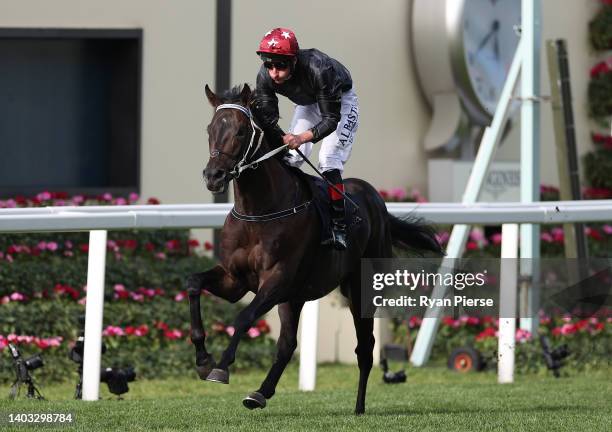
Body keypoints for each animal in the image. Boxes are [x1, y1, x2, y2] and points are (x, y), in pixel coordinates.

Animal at [188, 82, 444, 414]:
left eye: (241, 131)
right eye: (210, 129)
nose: (213, 176)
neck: (260, 211)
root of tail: (376, 200)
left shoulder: (277, 279)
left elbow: (244, 317)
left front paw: (220, 367)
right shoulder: (235, 279)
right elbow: (194, 283)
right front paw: (203, 359)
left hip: (361, 289)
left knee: (365, 348)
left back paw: (359, 407)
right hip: (295, 298)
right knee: (288, 345)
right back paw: (260, 393)